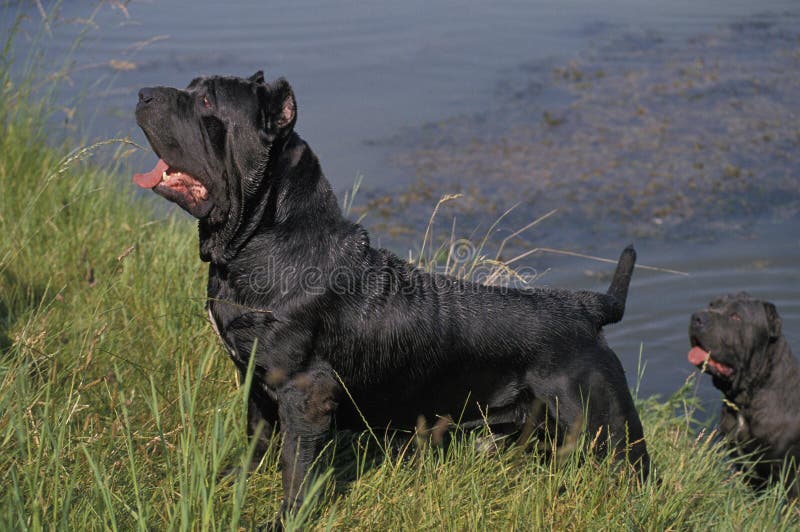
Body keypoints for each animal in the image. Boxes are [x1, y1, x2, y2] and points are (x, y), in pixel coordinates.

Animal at [134, 71, 648, 516]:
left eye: (206, 101)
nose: (142, 93)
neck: (260, 241)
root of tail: (586, 306)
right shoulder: (254, 379)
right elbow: (257, 438)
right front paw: (235, 481)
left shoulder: (304, 391)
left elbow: (296, 466)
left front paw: (289, 517)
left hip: (609, 431)